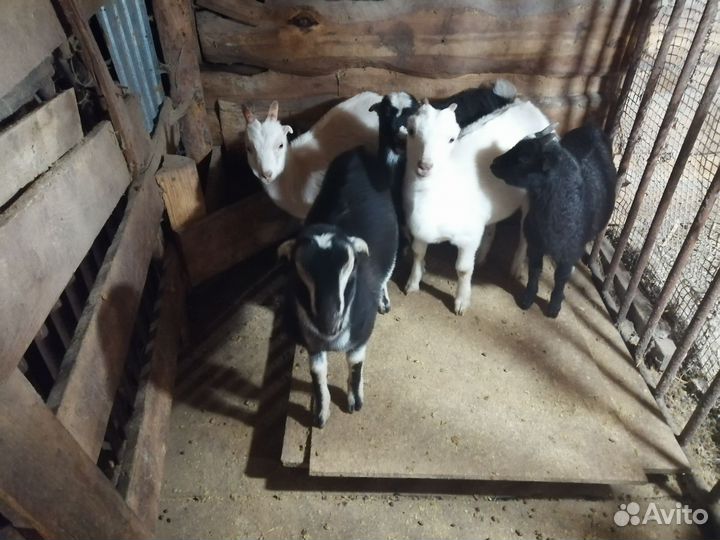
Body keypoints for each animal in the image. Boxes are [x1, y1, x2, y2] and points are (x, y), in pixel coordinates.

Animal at [279, 148, 398, 427]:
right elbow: (317, 374)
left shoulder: (361, 337)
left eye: (349, 270)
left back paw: (383, 300)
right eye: (299, 273)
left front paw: (355, 401)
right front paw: (320, 414)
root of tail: (358, 152)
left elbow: (355, 366)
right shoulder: (312, 344)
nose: (329, 324)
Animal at [403, 100, 551, 315]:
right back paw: (481, 256)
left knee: (525, 232)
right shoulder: (419, 230)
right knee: (492, 226)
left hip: (532, 197)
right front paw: (412, 284)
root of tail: (529, 106)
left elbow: (463, 270)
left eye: (451, 139)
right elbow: (417, 253)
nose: (425, 166)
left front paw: (462, 302)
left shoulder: (468, 238)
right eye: (411, 131)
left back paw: (515, 268)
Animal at [490, 124, 617, 317]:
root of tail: (593, 128)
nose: (493, 163)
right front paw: (527, 299)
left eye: (523, 159)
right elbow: (535, 271)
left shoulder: (569, 253)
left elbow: (560, 279)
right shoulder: (535, 243)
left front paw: (554, 307)